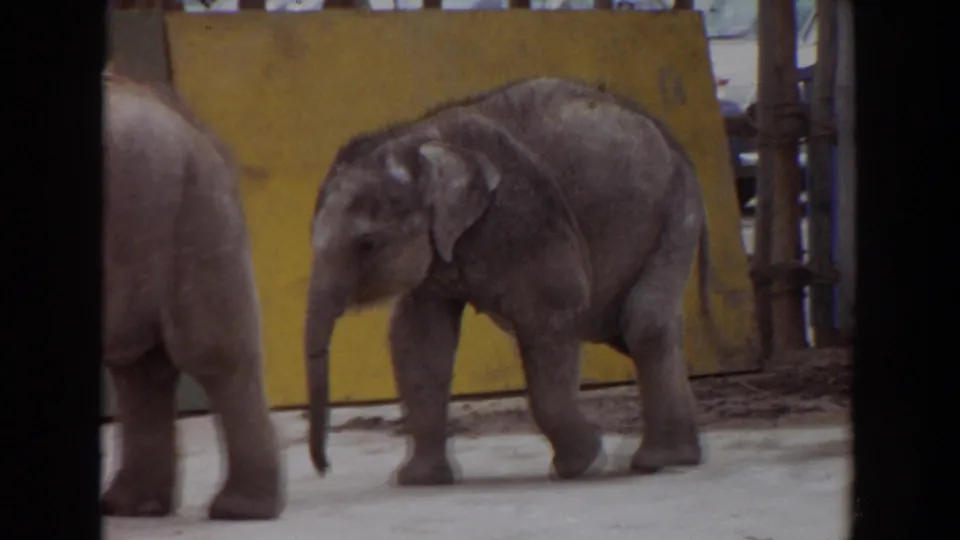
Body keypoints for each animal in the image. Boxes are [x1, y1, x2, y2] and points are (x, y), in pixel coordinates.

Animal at [305, 77, 714, 485]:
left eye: (366, 244)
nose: (325, 469)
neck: (420, 137)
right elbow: (419, 340)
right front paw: (418, 480)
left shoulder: (524, 216)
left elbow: (550, 311)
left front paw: (581, 466)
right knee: (625, 328)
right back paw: (677, 455)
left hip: (677, 208)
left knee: (643, 322)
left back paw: (660, 459)